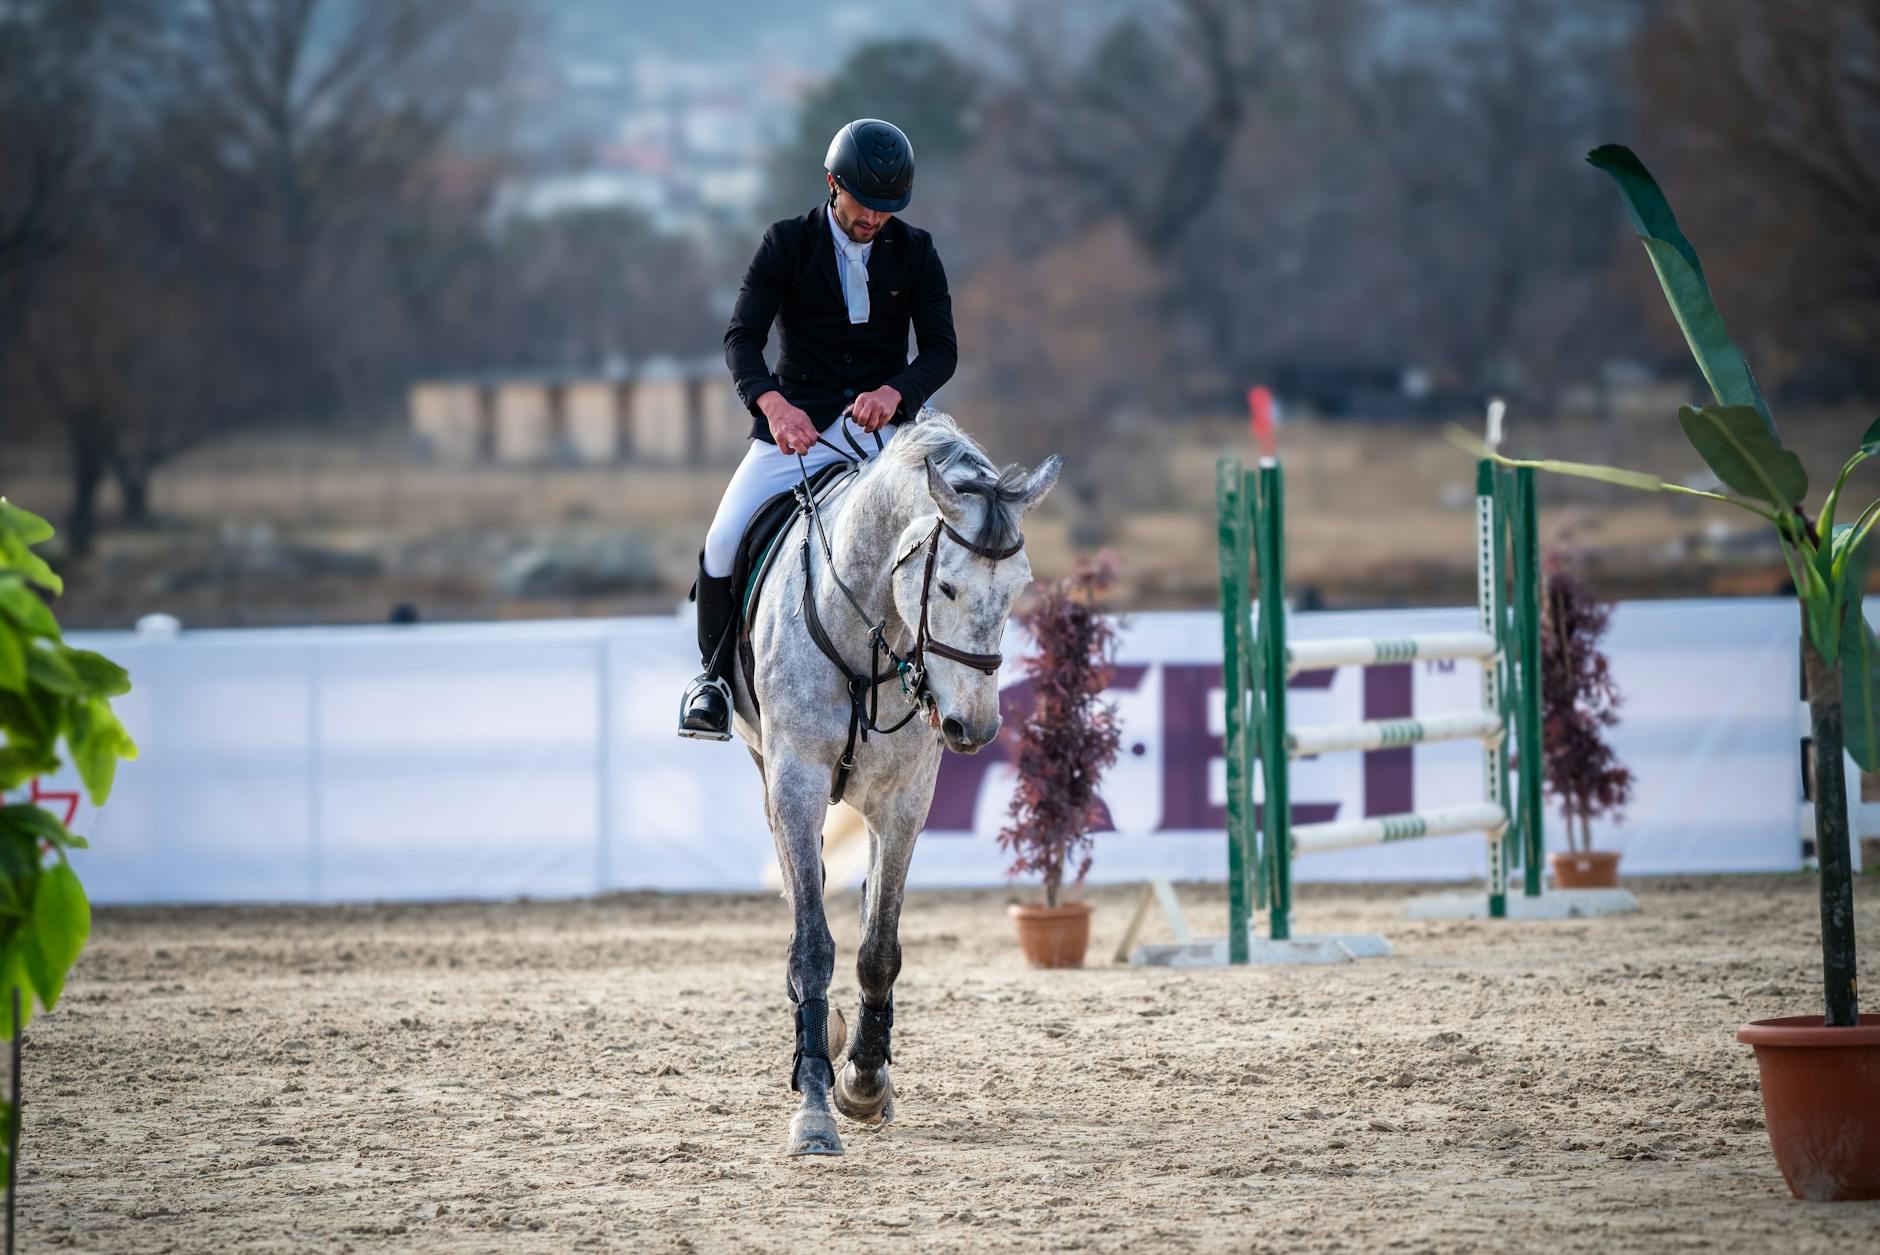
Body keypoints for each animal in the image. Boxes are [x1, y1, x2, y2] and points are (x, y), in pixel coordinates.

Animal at [729, 413, 1060, 1157]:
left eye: (1019, 588)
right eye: (947, 588)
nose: (975, 726)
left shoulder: (905, 800)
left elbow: (878, 948)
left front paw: (863, 1081)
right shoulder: (795, 780)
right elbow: (812, 944)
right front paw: (815, 1108)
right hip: (771, 774)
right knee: (801, 888)